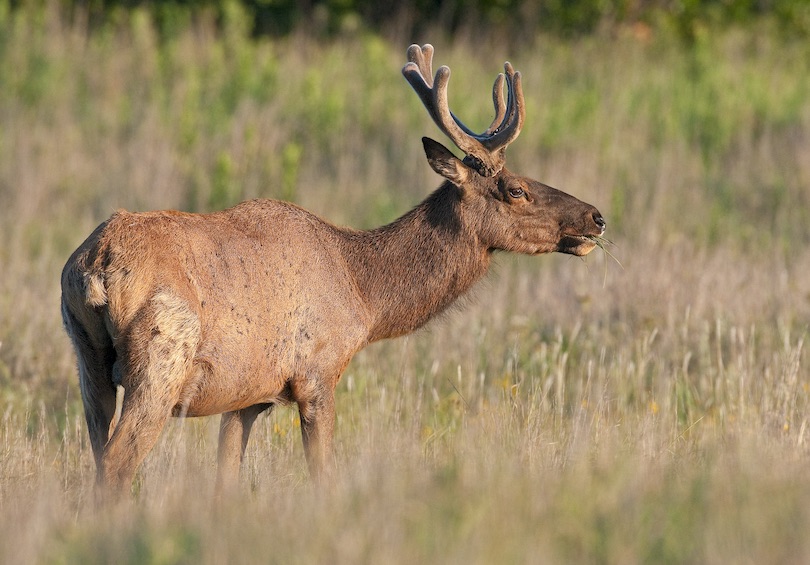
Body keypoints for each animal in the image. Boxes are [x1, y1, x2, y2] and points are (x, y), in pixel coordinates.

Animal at [60, 43, 604, 494]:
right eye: (516, 189)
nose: (596, 217)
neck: (362, 291)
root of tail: (95, 263)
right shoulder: (318, 371)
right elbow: (322, 475)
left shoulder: (250, 394)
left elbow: (226, 478)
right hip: (161, 358)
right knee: (117, 464)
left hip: (88, 360)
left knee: (97, 455)